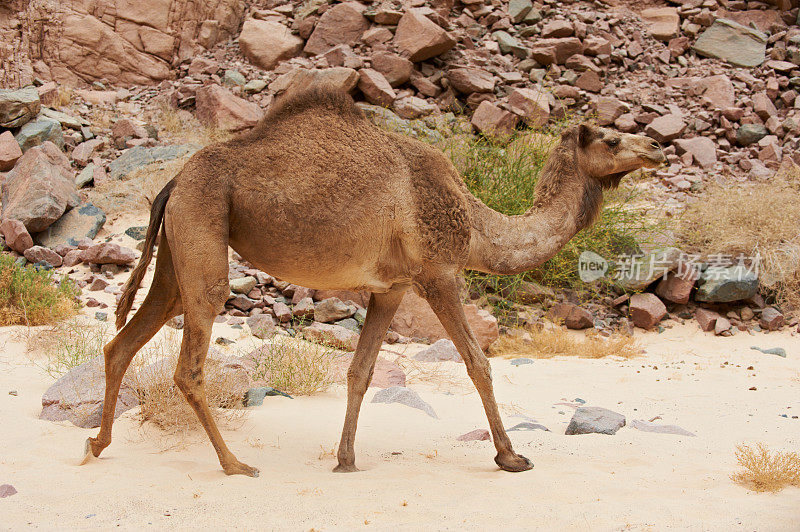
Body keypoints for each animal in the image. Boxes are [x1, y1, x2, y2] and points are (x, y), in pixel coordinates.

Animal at [84, 85, 664, 476]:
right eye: (613, 139)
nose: (655, 149)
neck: (477, 224)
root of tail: (174, 179)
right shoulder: (438, 273)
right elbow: (477, 364)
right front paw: (511, 456)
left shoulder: (392, 288)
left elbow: (360, 372)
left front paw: (345, 459)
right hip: (203, 221)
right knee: (191, 358)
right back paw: (235, 464)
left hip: (179, 241)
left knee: (124, 341)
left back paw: (97, 443)